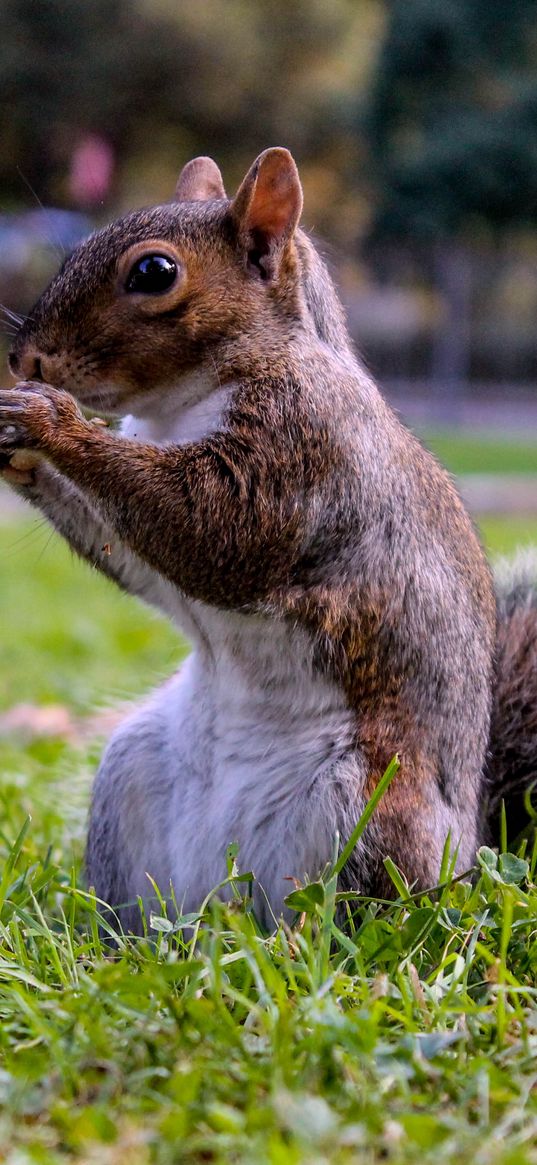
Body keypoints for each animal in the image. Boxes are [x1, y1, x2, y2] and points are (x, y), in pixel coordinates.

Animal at [0, 147, 531, 927]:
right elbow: (138, 555)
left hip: (363, 811)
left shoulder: (302, 446)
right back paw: (134, 935)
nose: (28, 361)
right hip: (130, 774)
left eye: (153, 272)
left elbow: (213, 532)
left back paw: (292, 937)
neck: (180, 406)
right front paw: (21, 453)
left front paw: (48, 422)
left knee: (349, 914)